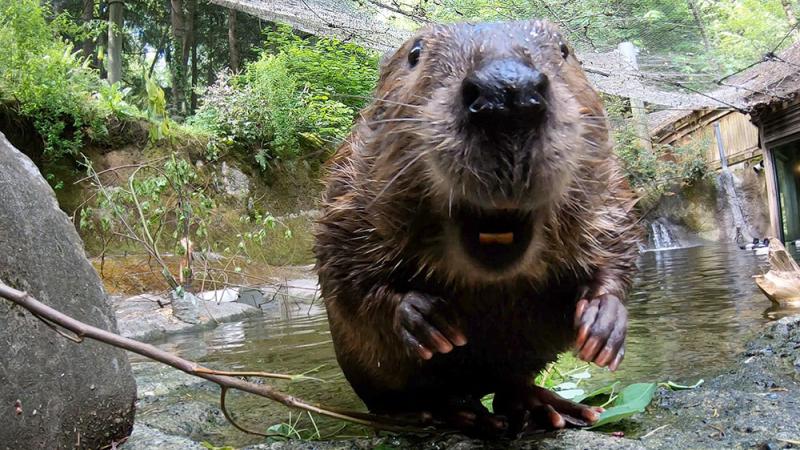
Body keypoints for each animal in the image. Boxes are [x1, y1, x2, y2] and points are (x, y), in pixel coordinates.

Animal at [314, 19, 644, 434]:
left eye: (565, 50)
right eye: (415, 53)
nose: (508, 93)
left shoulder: (608, 183)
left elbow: (619, 240)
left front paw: (603, 325)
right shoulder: (349, 186)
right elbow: (346, 275)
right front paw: (427, 318)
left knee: (511, 385)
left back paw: (549, 407)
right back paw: (453, 412)